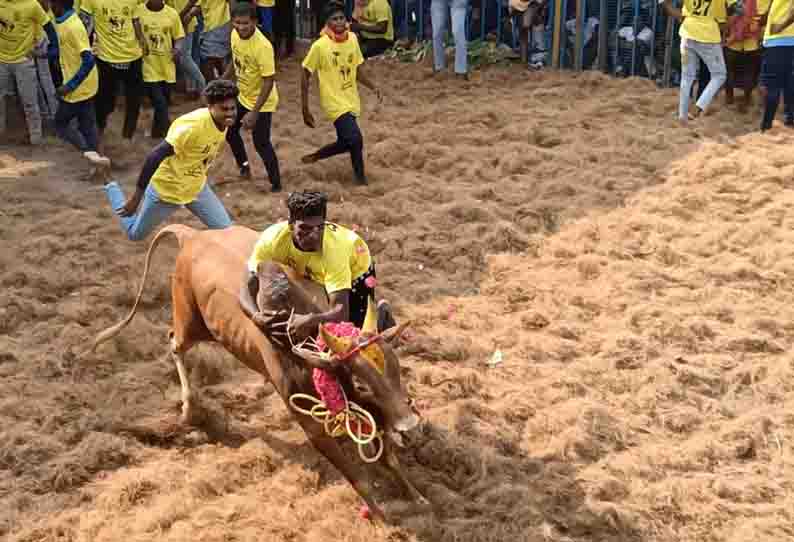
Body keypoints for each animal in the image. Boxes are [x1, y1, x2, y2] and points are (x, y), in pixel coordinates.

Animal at [88, 225, 426, 524]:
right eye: (359, 382)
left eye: (397, 371)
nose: (412, 429)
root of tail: (192, 235)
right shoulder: (313, 427)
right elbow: (358, 477)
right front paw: (382, 518)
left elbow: (389, 458)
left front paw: (416, 495)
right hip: (188, 320)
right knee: (174, 342)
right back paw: (188, 409)